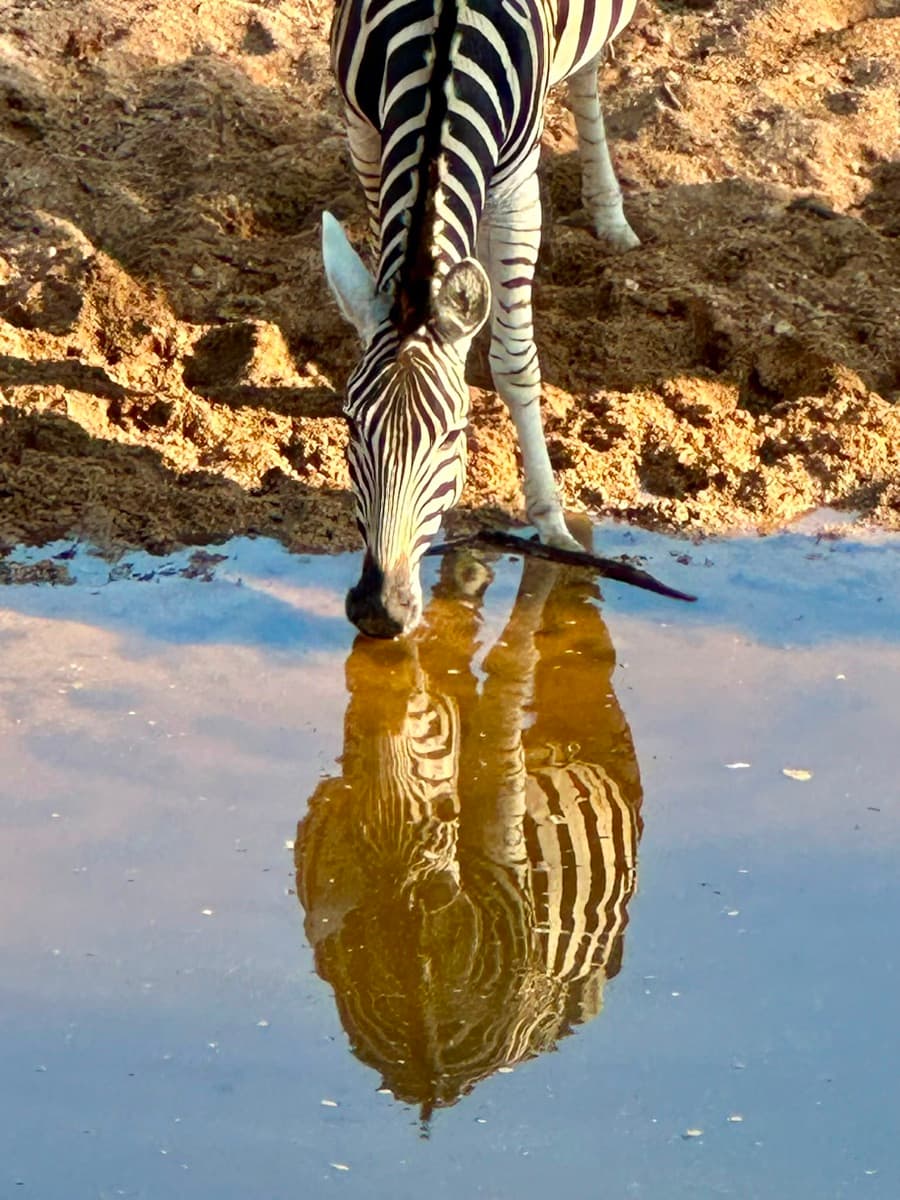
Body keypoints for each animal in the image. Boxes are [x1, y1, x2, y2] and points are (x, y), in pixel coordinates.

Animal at [322, 0, 639, 637]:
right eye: (350, 425)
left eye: (453, 436)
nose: (378, 612)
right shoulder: (364, 132)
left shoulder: (518, 186)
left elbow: (515, 365)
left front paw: (550, 522)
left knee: (590, 73)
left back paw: (609, 214)